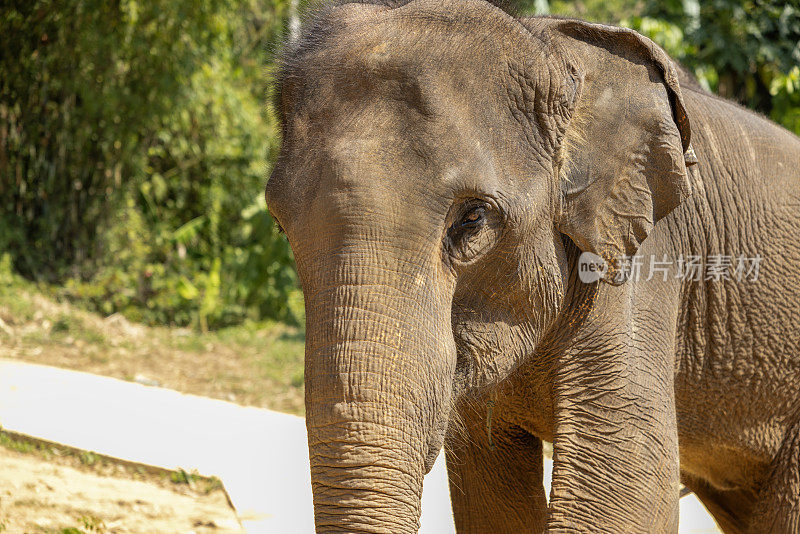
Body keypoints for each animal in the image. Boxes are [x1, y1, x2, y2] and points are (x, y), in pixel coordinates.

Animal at [264, 1, 800, 532]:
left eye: (473, 219)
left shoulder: (643, 261)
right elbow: (491, 492)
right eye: (279, 224)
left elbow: (624, 480)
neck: (552, 51)